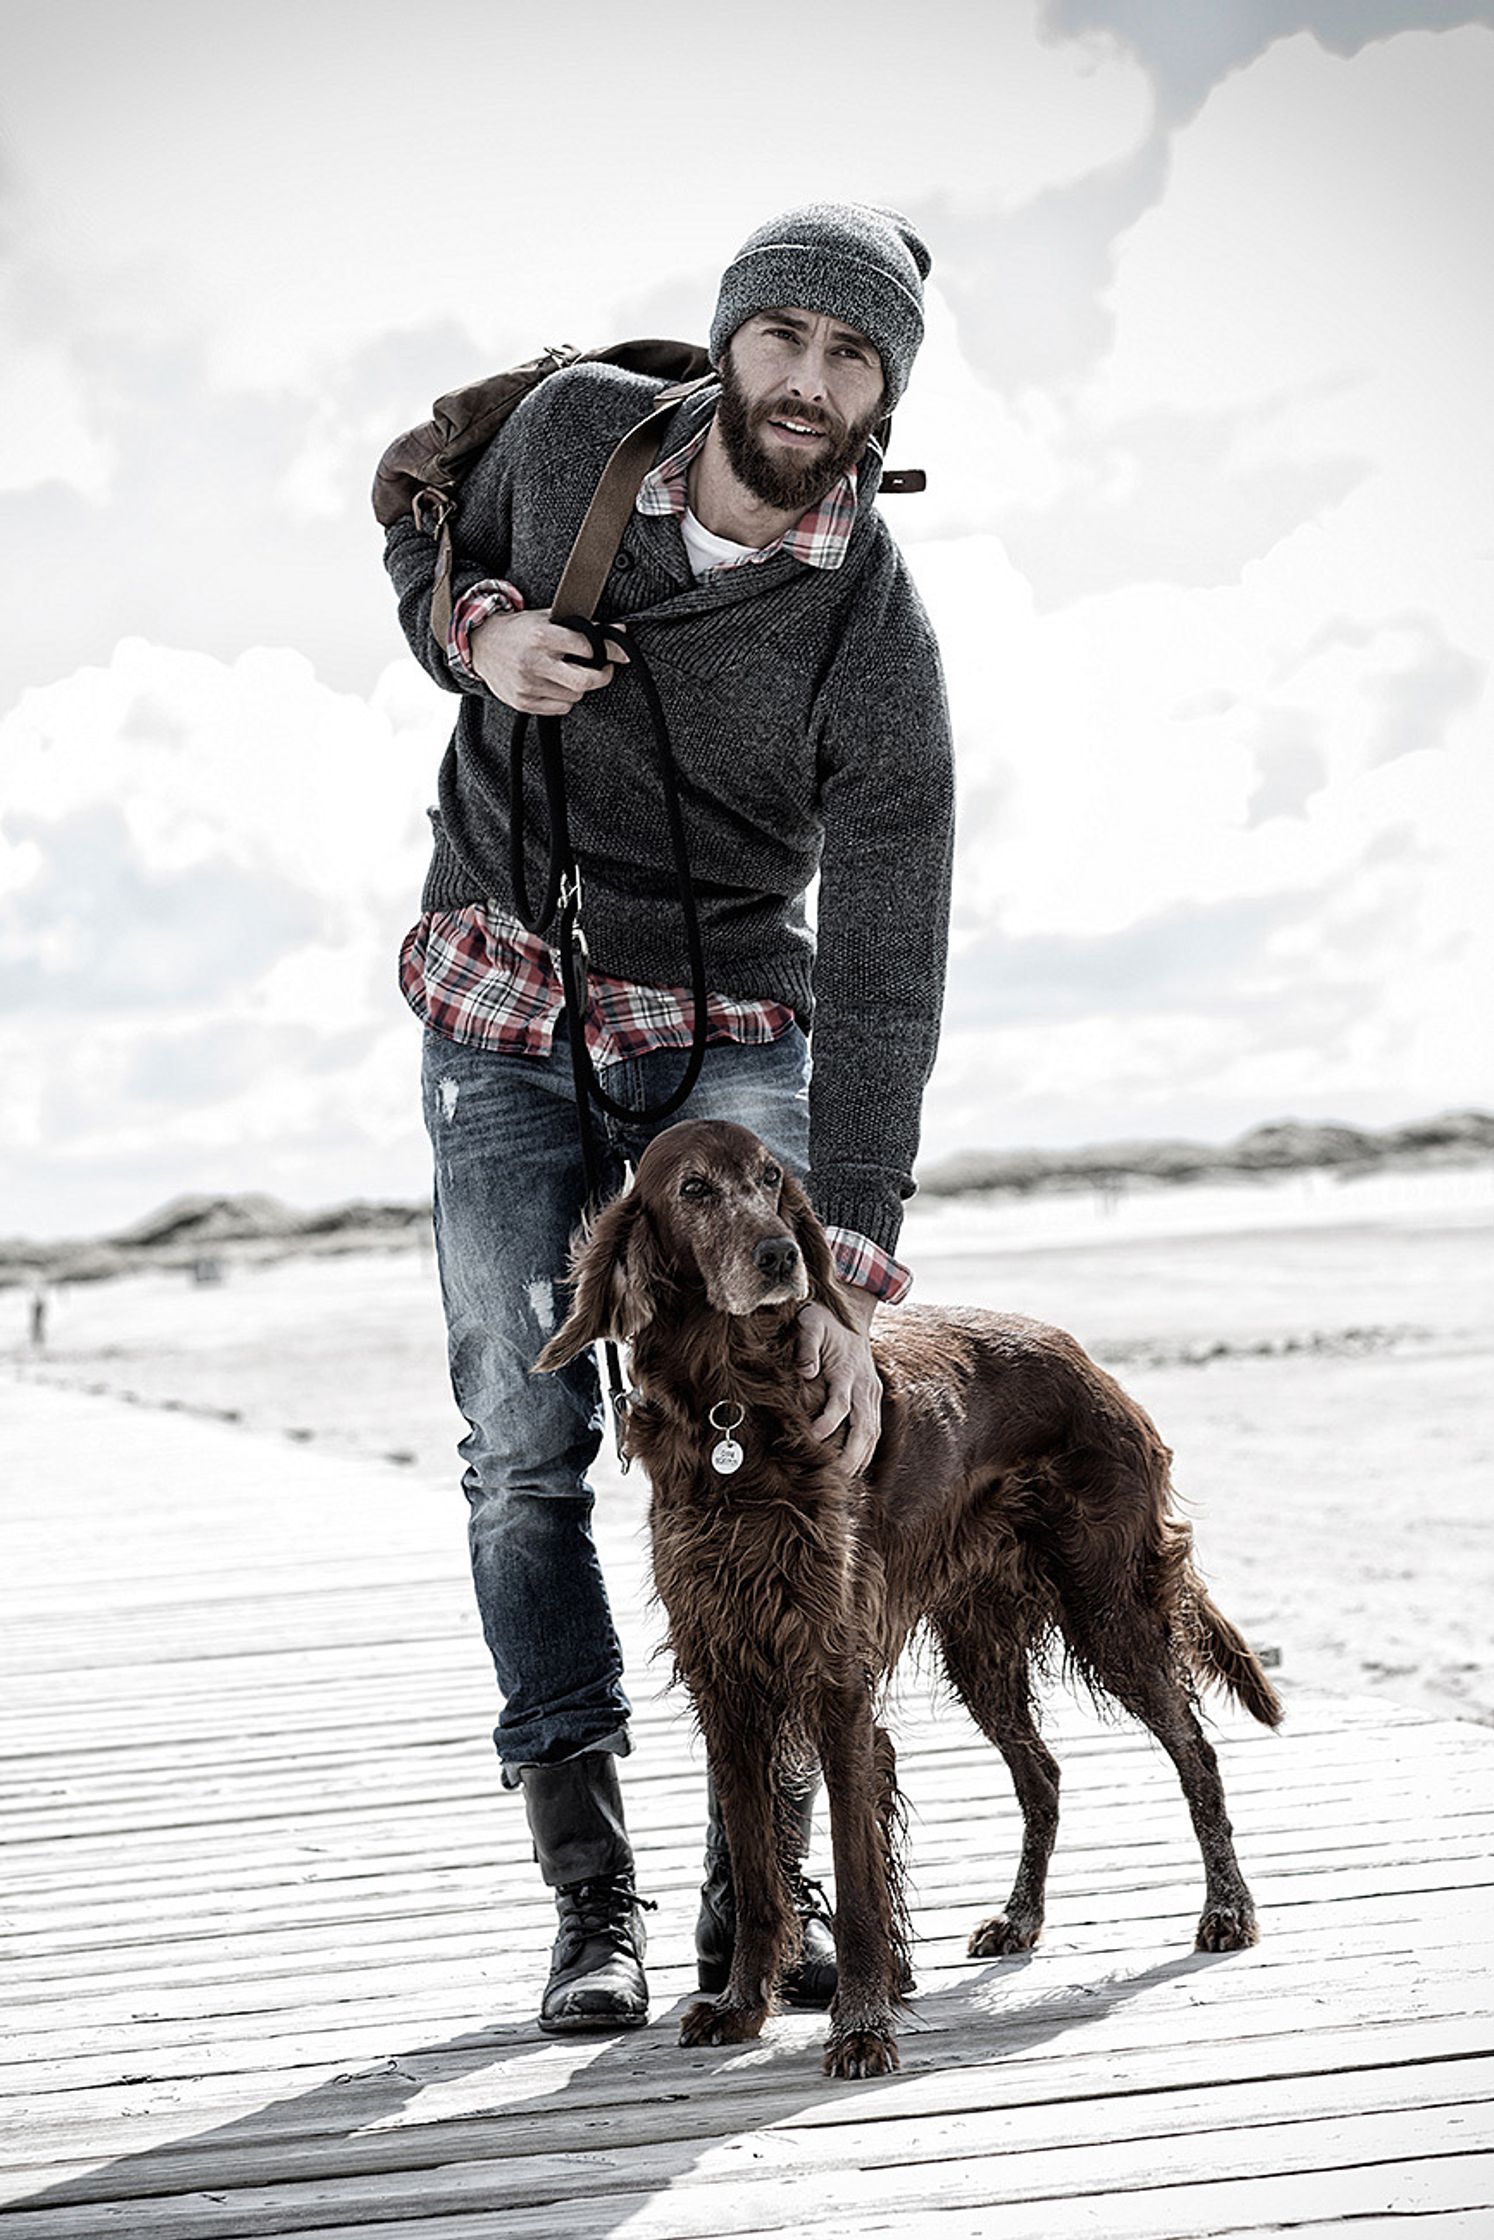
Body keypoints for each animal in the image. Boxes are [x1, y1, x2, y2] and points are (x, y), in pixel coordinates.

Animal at [539, 1120, 1290, 2078]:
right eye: (694, 1188)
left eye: (772, 1178)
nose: (782, 1255)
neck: (734, 1409)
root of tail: (1089, 1362)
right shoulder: (728, 1680)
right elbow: (754, 1868)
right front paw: (742, 2008)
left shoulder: (833, 1677)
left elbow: (856, 1872)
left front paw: (862, 2023)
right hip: (982, 1644)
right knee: (1044, 1774)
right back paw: (1019, 1919)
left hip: (1109, 1607)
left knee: (1196, 1750)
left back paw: (1228, 1909)